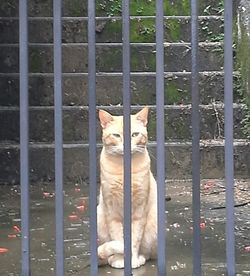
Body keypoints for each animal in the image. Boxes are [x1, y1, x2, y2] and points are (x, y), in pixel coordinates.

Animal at [97, 106, 157, 268]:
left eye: (134, 134)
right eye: (116, 135)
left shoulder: (139, 211)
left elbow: (135, 239)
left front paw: (133, 259)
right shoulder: (112, 211)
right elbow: (117, 236)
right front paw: (120, 259)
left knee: (148, 254)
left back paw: (141, 258)